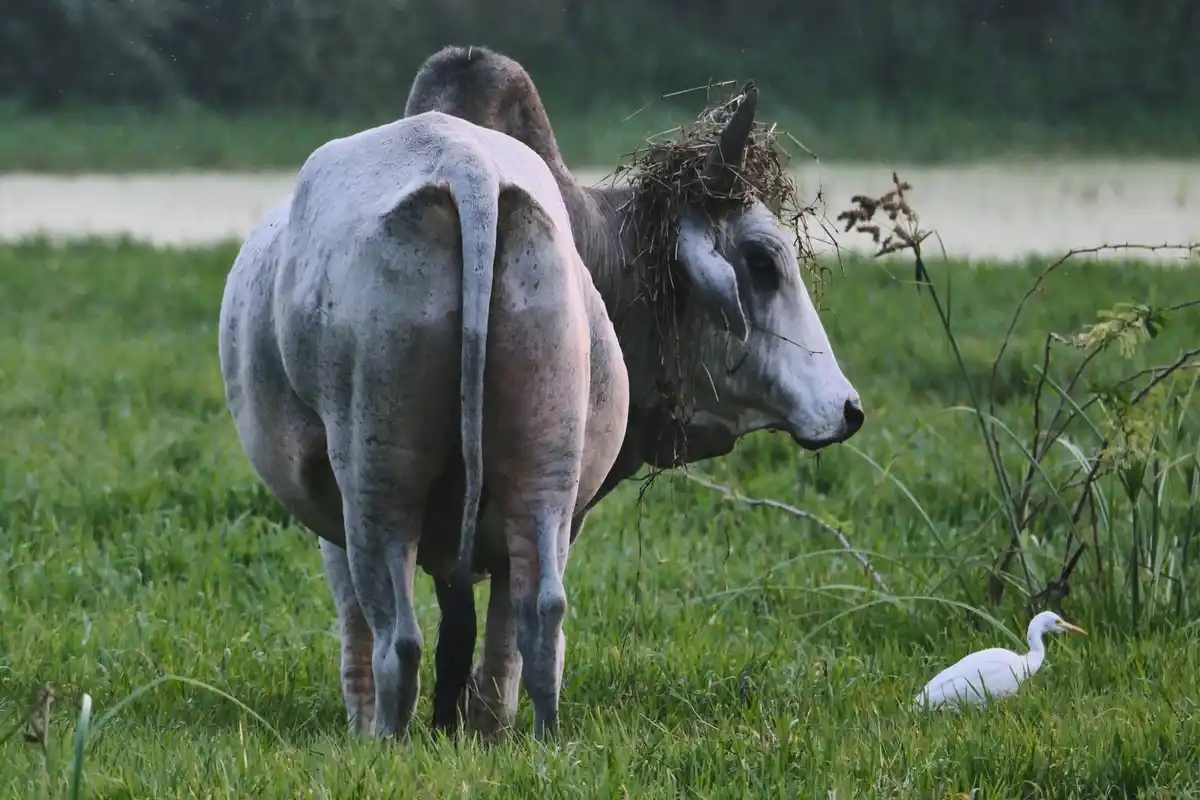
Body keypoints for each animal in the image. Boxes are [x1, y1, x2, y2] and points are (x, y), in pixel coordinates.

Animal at [217, 109, 630, 742]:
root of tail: (467, 165)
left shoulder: (334, 519)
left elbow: (353, 621)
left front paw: (360, 723)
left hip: (376, 468)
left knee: (398, 635)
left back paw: (383, 741)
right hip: (548, 454)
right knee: (542, 610)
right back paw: (540, 739)